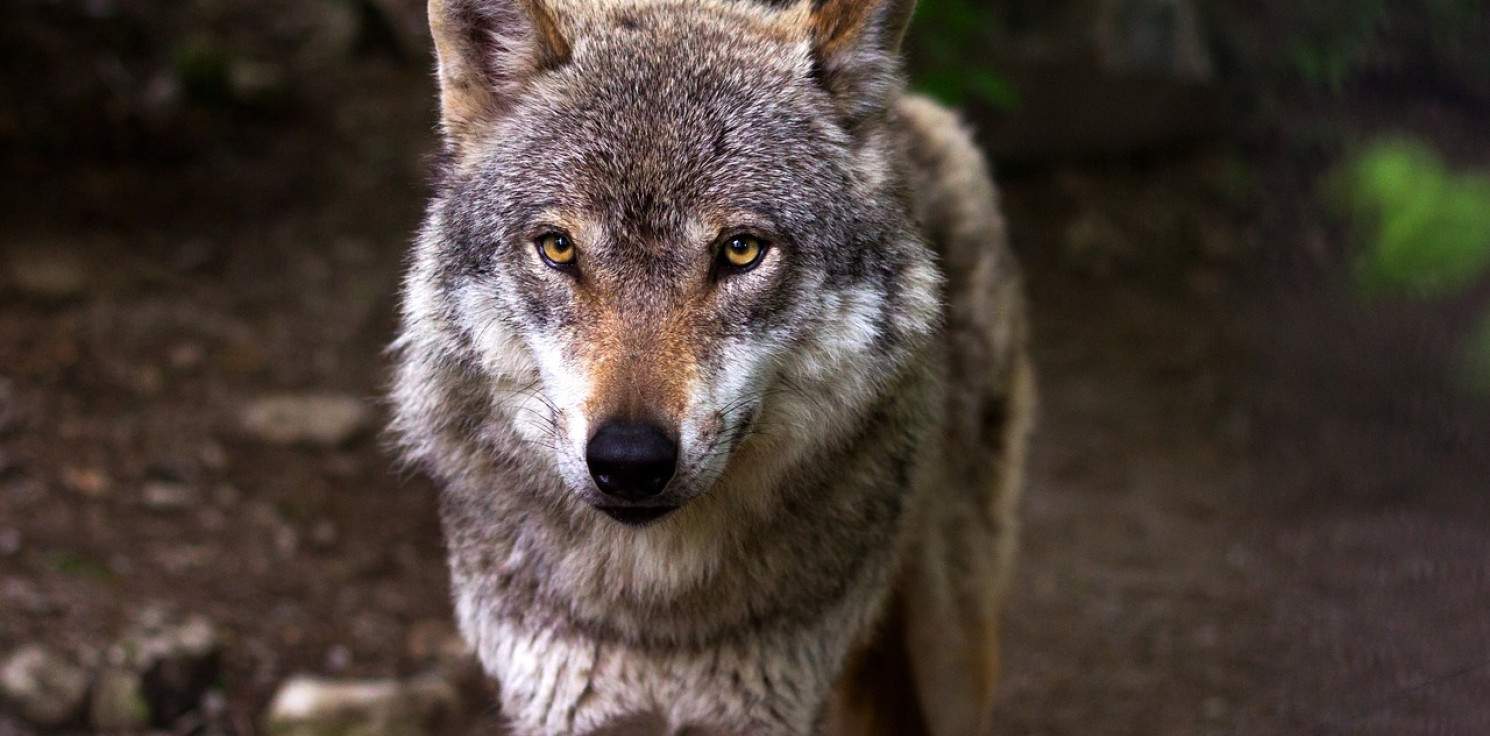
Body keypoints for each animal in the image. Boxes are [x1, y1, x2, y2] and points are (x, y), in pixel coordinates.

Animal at [390, 0, 1031, 733]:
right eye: (558, 248)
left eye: (741, 250)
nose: (629, 460)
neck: (658, 613)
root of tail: (915, 109)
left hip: (951, 650)